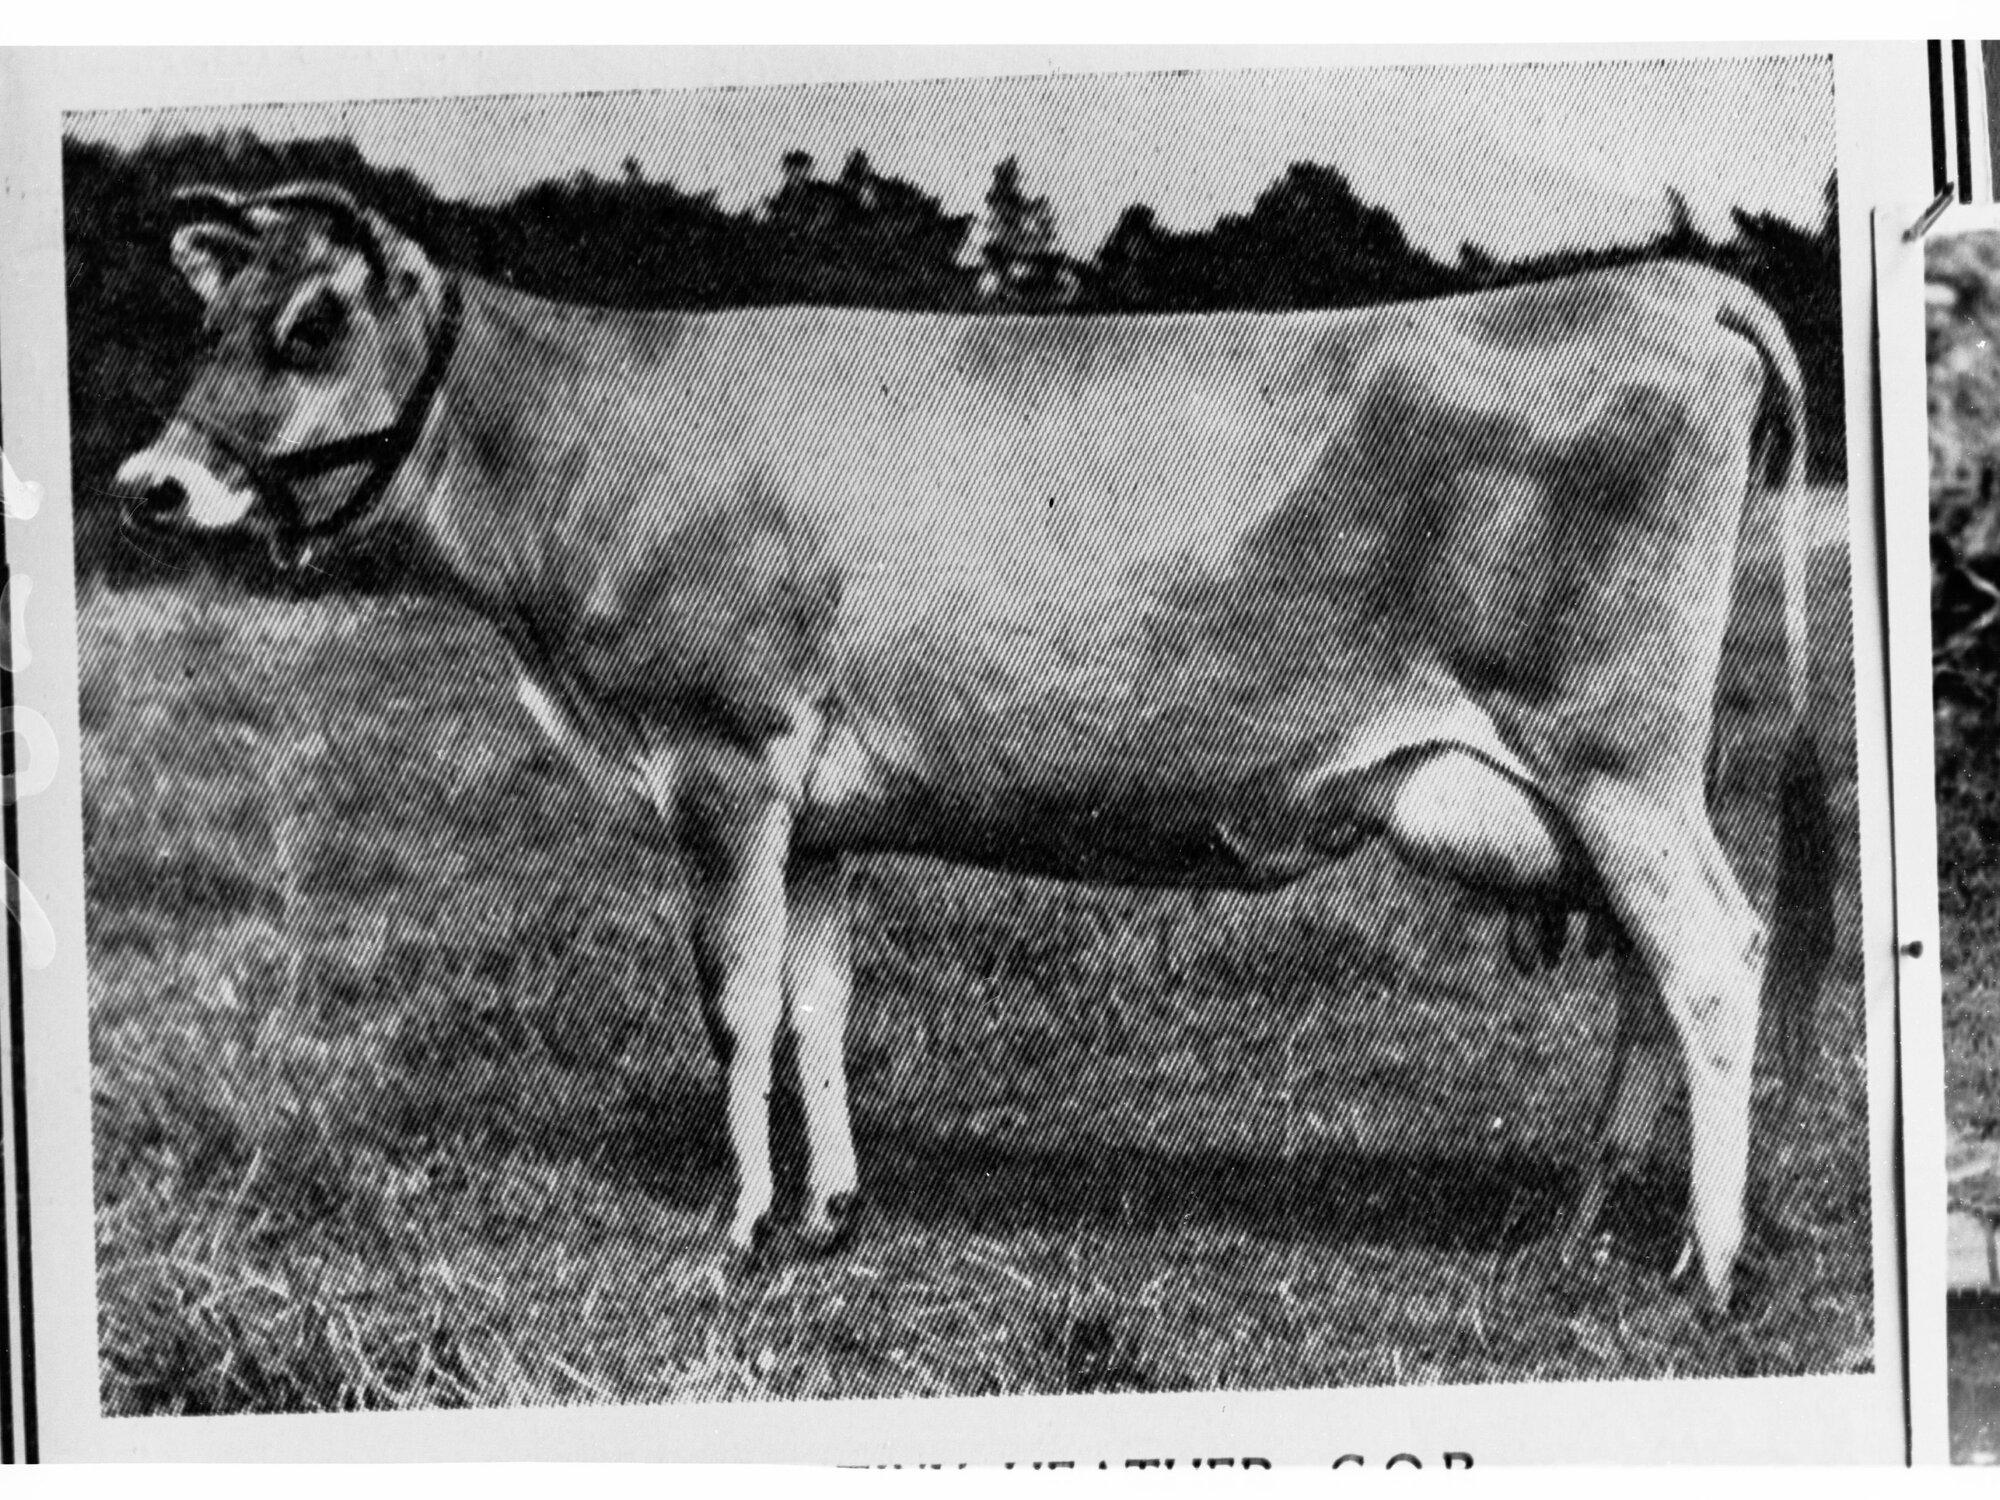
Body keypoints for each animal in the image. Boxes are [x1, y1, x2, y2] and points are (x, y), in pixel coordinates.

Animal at [114, 181, 1836, 1309]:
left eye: (313, 322)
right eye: (211, 314)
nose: (148, 485)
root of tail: (1664, 282)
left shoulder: (726, 754)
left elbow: (735, 1007)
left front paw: (740, 1227)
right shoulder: (814, 810)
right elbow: (818, 1004)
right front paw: (829, 1212)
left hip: (1616, 754)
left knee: (1710, 954)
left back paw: (1710, 1266)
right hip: (1595, 780)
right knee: (1643, 969)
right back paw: (1595, 1221)